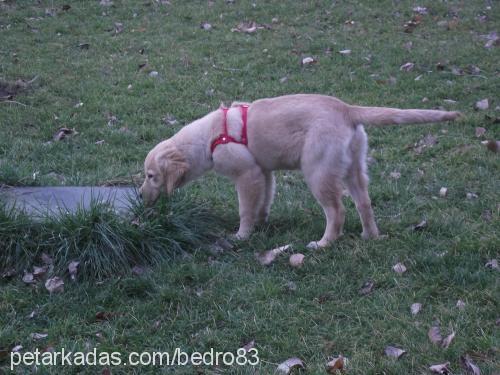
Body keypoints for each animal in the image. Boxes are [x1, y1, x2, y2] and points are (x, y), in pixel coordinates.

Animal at [139, 94, 458, 250]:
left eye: (151, 176)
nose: (140, 197)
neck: (209, 138)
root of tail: (347, 109)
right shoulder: (263, 172)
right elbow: (263, 201)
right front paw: (260, 223)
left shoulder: (247, 174)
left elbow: (245, 209)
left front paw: (242, 235)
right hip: (354, 167)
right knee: (364, 204)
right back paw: (371, 237)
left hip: (317, 171)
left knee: (337, 211)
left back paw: (323, 243)